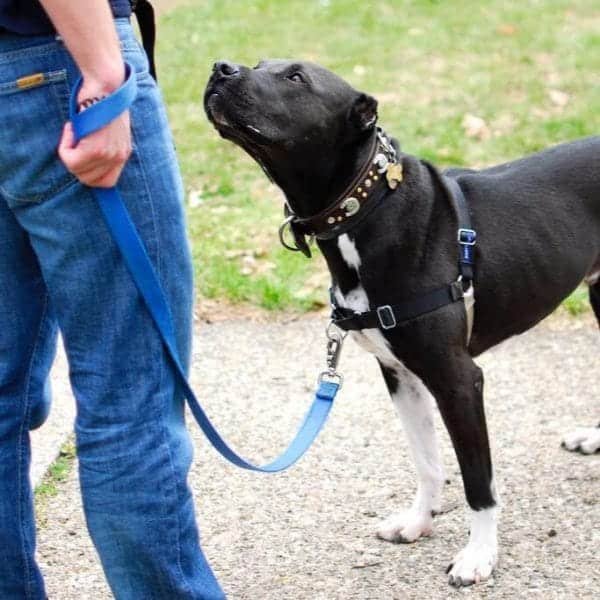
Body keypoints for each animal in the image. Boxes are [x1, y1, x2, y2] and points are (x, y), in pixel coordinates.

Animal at [204, 59, 596, 584]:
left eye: (295, 78)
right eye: (261, 65)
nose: (221, 68)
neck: (366, 208)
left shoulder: (458, 380)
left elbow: (478, 481)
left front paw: (479, 554)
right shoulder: (399, 375)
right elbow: (427, 461)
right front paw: (418, 522)